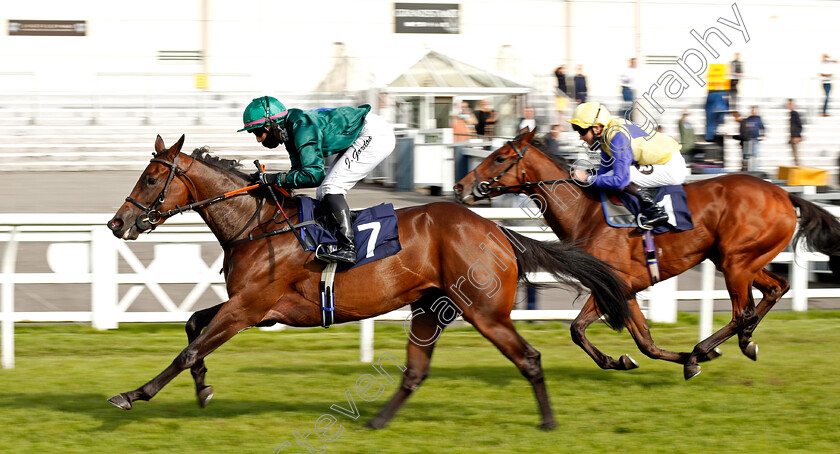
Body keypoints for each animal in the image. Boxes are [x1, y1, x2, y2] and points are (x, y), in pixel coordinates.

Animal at [105, 134, 632, 430]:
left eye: (151, 178)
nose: (116, 223)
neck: (257, 225)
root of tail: (495, 229)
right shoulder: (251, 309)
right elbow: (193, 325)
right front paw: (203, 390)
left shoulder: (249, 308)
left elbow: (189, 347)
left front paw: (133, 394)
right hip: (429, 308)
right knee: (415, 372)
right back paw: (376, 423)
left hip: (484, 311)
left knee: (529, 358)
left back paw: (549, 422)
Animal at [456, 127, 840, 380]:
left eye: (500, 157)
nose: (461, 187)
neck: (585, 212)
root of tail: (783, 193)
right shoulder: (620, 288)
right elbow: (633, 340)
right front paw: (624, 360)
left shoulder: (617, 284)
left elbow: (587, 331)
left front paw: (690, 359)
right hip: (737, 259)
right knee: (775, 288)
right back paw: (743, 343)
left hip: (735, 263)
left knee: (742, 312)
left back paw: (707, 347)